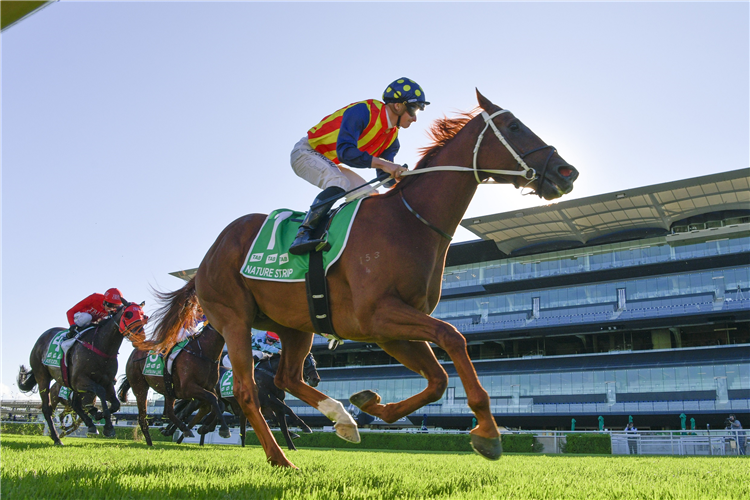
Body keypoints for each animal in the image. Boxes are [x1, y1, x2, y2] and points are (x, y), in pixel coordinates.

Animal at [17, 298, 148, 444]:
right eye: (129, 314)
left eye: (143, 315)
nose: (140, 336)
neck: (101, 346)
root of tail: (41, 338)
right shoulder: (80, 380)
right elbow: (100, 393)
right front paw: (108, 427)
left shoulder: (106, 381)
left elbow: (115, 404)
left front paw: (97, 415)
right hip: (42, 376)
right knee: (47, 408)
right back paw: (56, 437)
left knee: (73, 405)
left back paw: (86, 424)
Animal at [137, 91, 580, 468]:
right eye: (515, 126)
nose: (567, 171)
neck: (408, 220)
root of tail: (207, 257)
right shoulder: (379, 316)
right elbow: (454, 336)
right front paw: (487, 433)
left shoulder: (390, 329)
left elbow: (438, 380)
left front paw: (370, 405)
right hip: (234, 319)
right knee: (247, 391)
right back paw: (280, 457)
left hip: (295, 325)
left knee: (287, 377)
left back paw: (341, 420)